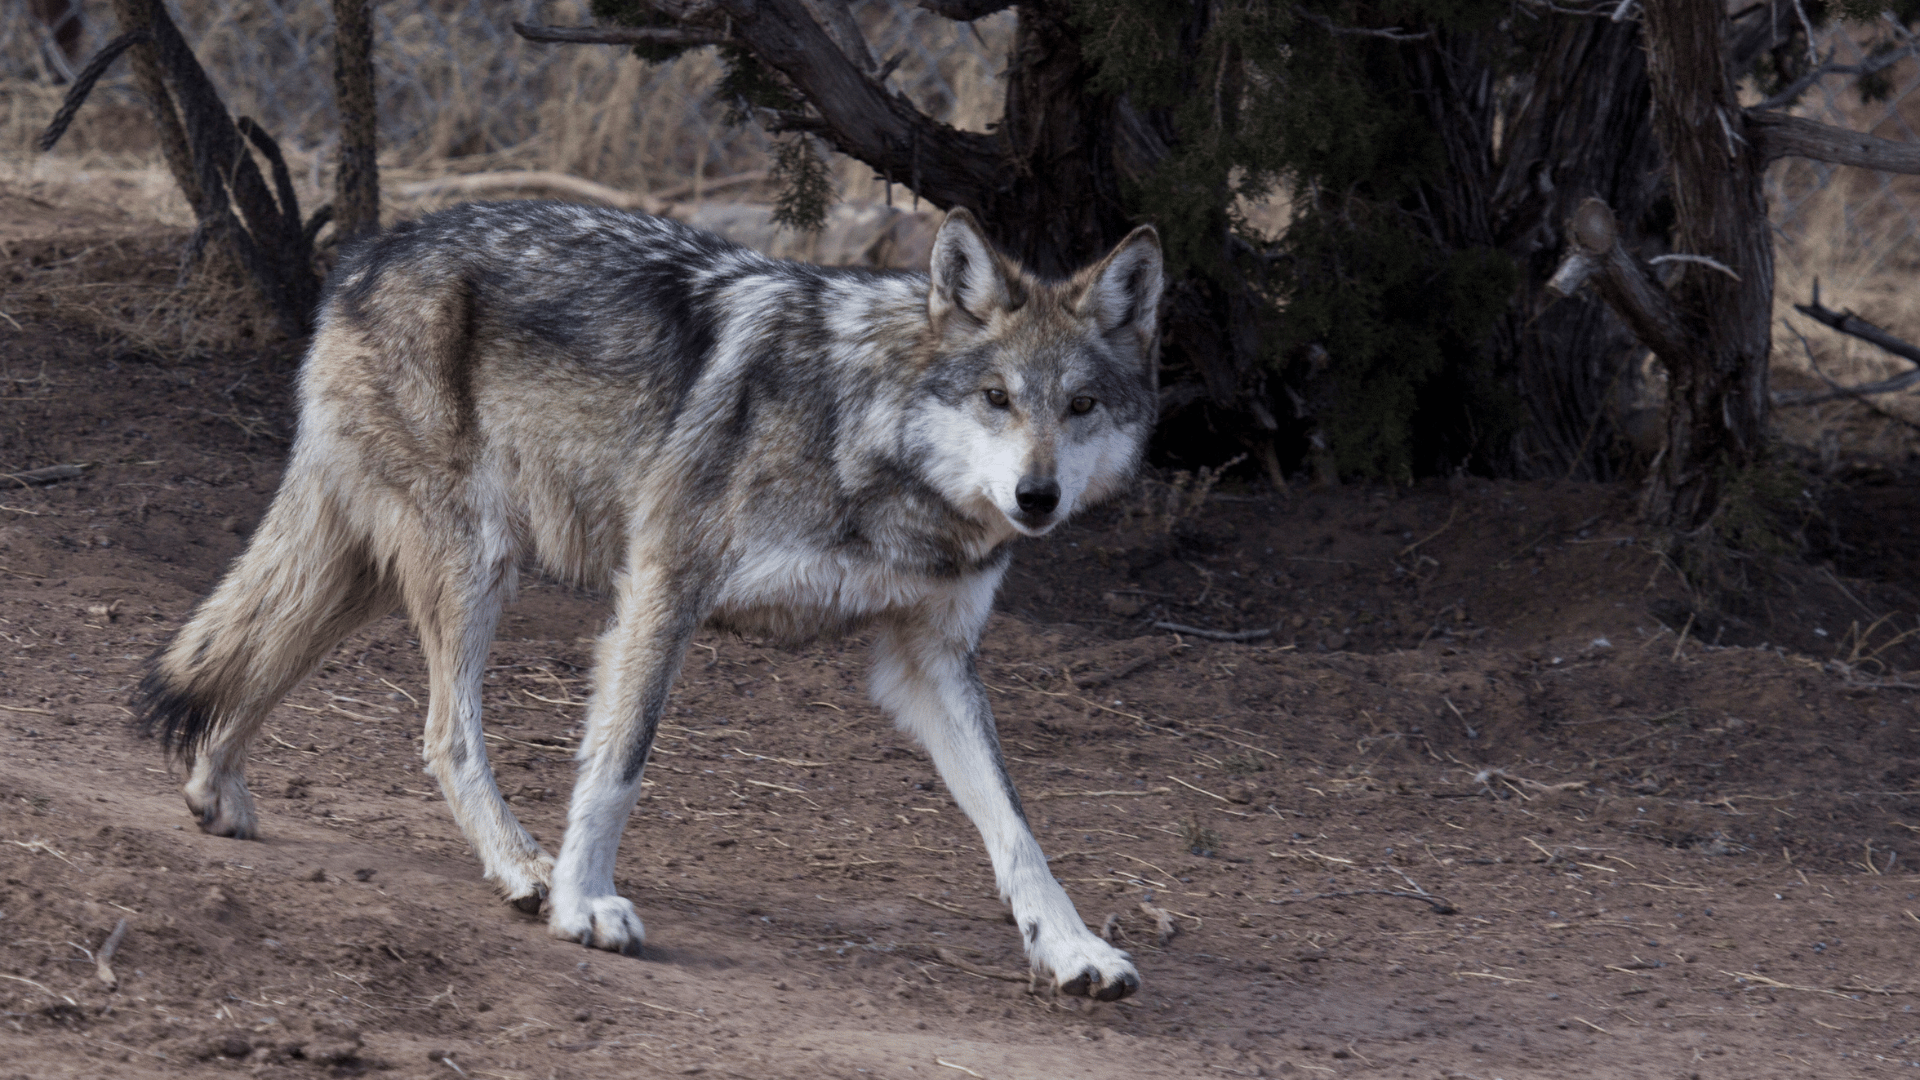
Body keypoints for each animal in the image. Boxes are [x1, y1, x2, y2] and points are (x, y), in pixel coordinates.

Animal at [133, 201, 1163, 1001]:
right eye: (996, 397)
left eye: (1079, 407)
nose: (1038, 498)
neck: (864, 435)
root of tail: (370, 252)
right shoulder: (665, 582)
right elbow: (618, 764)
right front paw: (584, 902)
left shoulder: (931, 661)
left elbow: (1018, 827)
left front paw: (1073, 949)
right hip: (474, 565)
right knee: (442, 732)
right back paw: (522, 866)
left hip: (378, 570)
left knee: (257, 660)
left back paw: (214, 790)